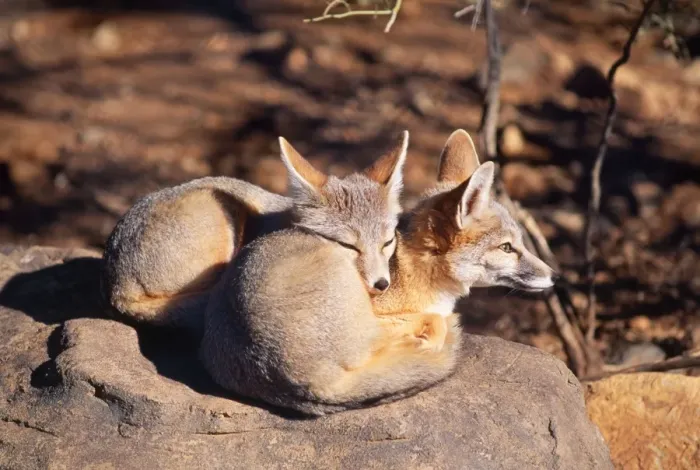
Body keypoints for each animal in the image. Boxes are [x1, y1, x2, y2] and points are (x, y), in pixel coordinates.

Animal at [199, 129, 556, 416]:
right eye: (507, 248)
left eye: (519, 243)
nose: (556, 276)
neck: (411, 268)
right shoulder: (384, 312)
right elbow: (434, 321)